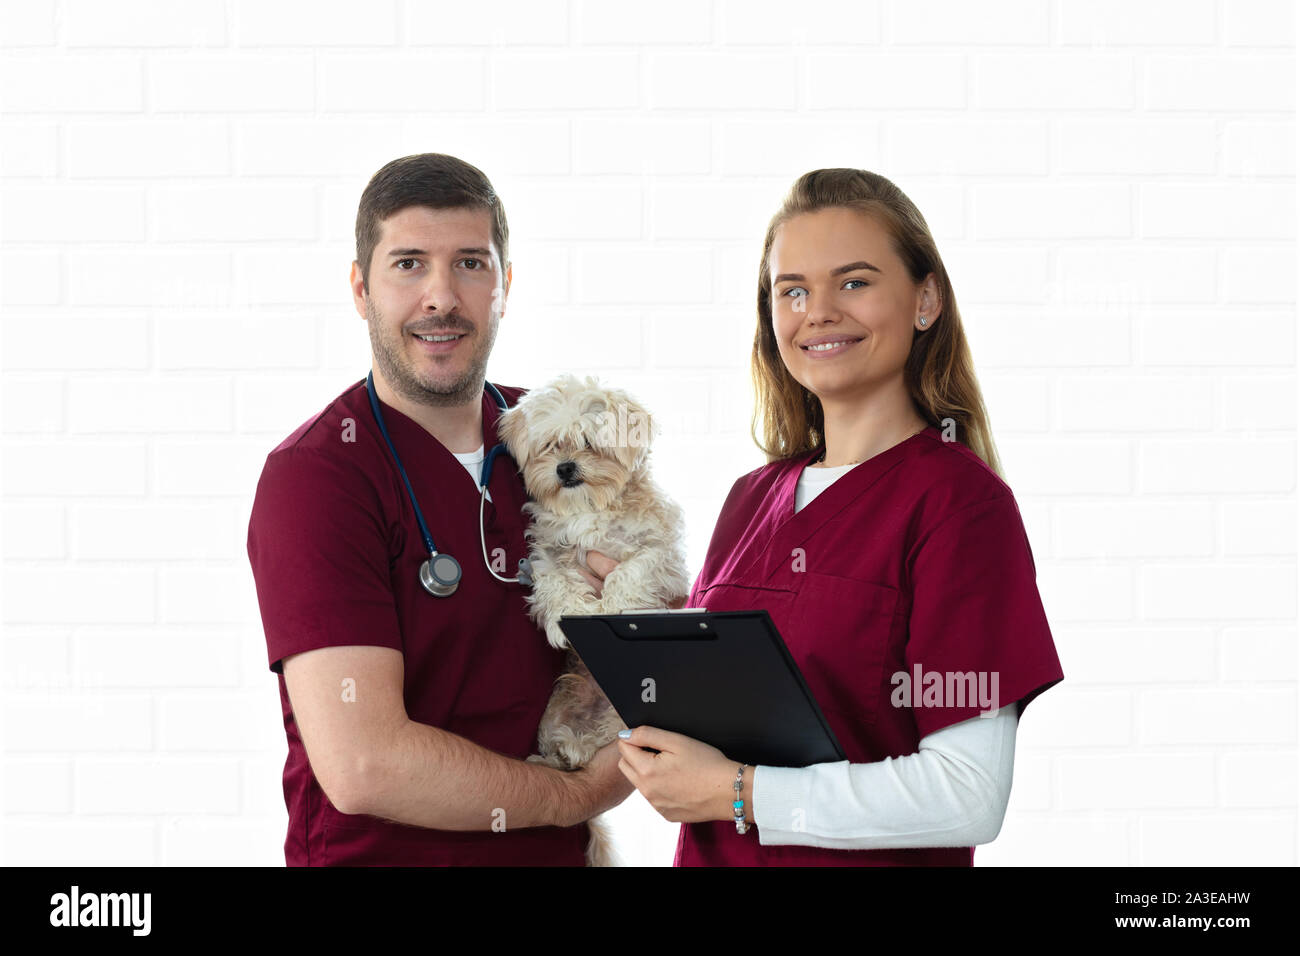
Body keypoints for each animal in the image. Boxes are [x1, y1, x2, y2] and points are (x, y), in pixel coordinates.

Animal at [496, 374, 696, 868]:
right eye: (551, 445)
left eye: (589, 443)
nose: (566, 468)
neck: (590, 509)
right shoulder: (547, 556)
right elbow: (555, 583)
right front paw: (569, 617)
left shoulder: (661, 557)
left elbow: (629, 573)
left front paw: (613, 608)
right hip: (555, 710)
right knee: (563, 749)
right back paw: (564, 753)